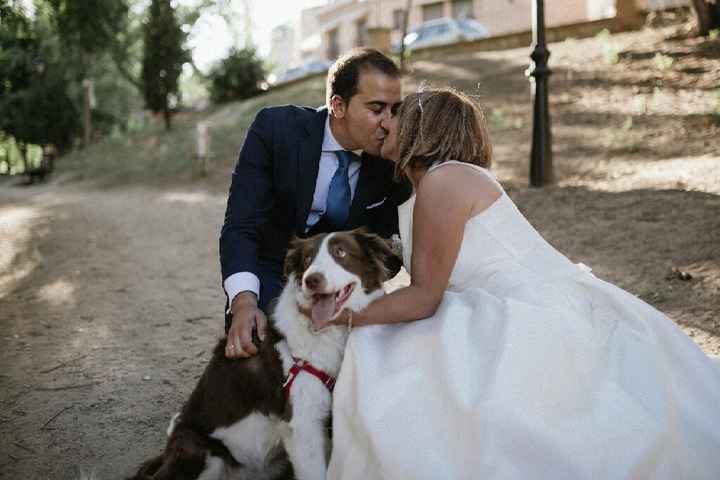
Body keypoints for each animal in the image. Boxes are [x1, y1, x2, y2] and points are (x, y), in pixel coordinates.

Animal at [126, 231, 390, 478]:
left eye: (341, 252)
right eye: (307, 259)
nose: (311, 280)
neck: (323, 329)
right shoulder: (302, 424)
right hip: (201, 451)